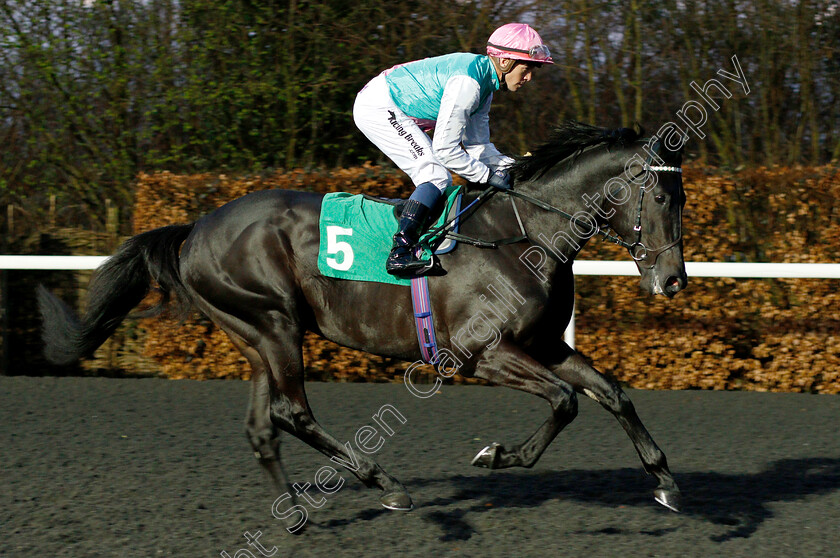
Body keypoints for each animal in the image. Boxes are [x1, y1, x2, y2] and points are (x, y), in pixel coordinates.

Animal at [36, 120, 684, 528]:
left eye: (682, 198)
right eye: (658, 197)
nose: (673, 279)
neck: (522, 236)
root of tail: (194, 228)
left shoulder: (545, 344)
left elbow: (612, 393)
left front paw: (664, 480)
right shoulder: (484, 352)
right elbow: (564, 402)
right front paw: (496, 455)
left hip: (254, 335)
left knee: (263, 424)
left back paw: (294, 513)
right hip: (273, 322)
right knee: (291, 412)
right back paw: (386, 484)